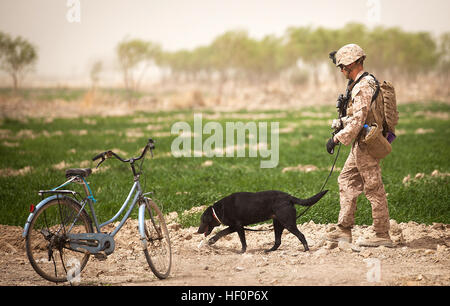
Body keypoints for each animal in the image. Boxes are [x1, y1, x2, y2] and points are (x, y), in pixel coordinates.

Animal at [197, 190, 326, 252]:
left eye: (202, 220)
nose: (197, 231)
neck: (218, 210)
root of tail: (289, 197)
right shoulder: (234, 227)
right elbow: (221, 233)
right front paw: (211, 241)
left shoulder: (238, 226)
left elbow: (243, 241)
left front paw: (242, 252)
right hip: (277, 223)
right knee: (278, 241)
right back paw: (269, 251)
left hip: (288, 223)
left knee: (301, 235)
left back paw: (306, 250)